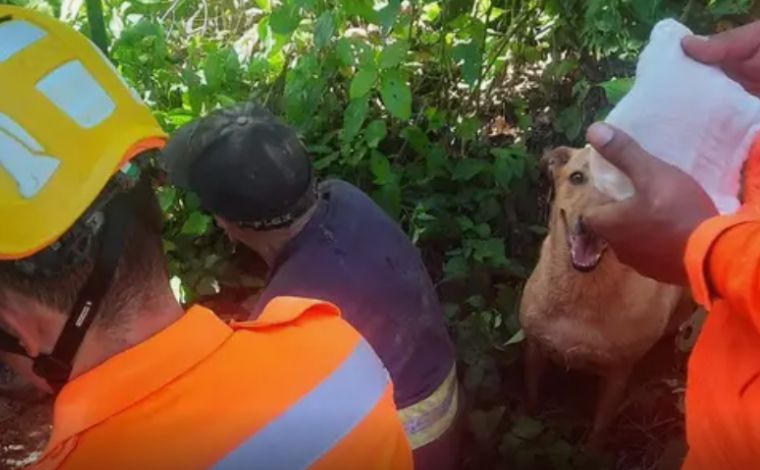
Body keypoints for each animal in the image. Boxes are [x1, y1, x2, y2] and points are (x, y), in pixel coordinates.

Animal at [524, 145, 688, 446]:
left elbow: (599, 430)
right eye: (577, 177)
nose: (592, 224)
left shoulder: (617, 374)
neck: (582, 289)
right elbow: (530, 397)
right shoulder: (534, 347)